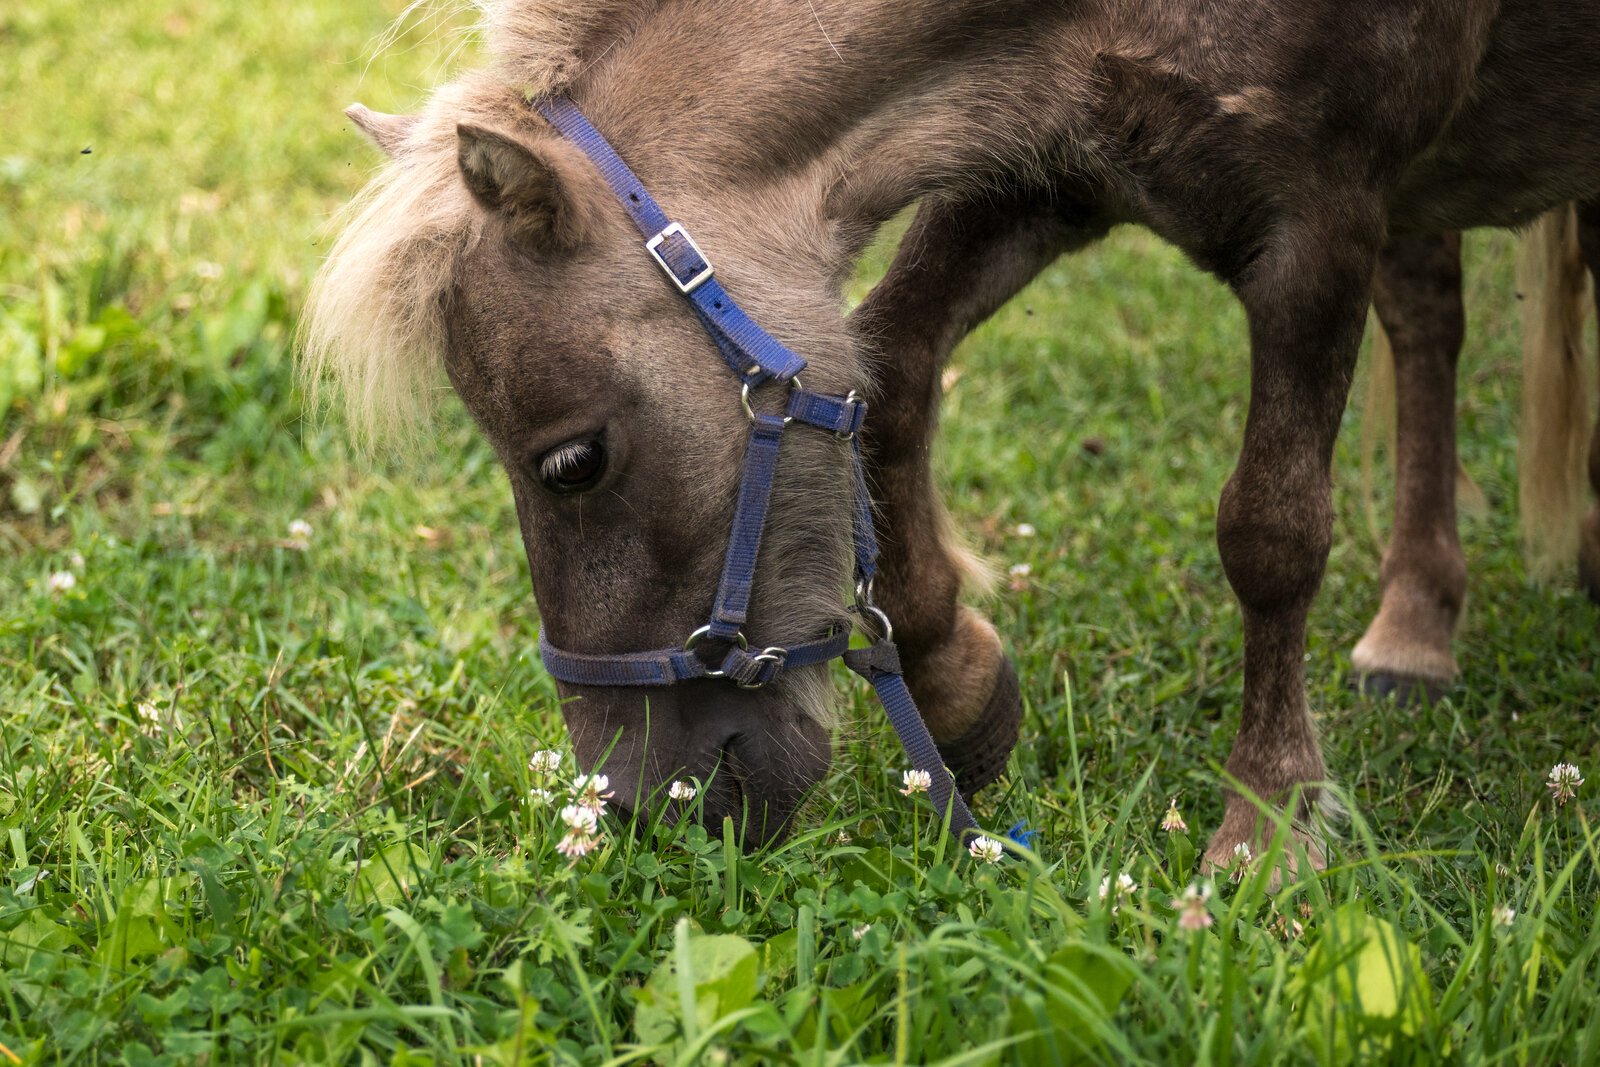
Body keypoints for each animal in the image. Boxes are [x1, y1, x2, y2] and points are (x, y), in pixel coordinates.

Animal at [300, 0, 1600, 870]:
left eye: (573, 461)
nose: (629, 806)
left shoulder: (1317, 223)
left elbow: (1272, 532)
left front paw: (1264, 831)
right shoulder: (1042, 172)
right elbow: (890, 370)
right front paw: (960, 688)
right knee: (1428, 314)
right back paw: (1418, 622)